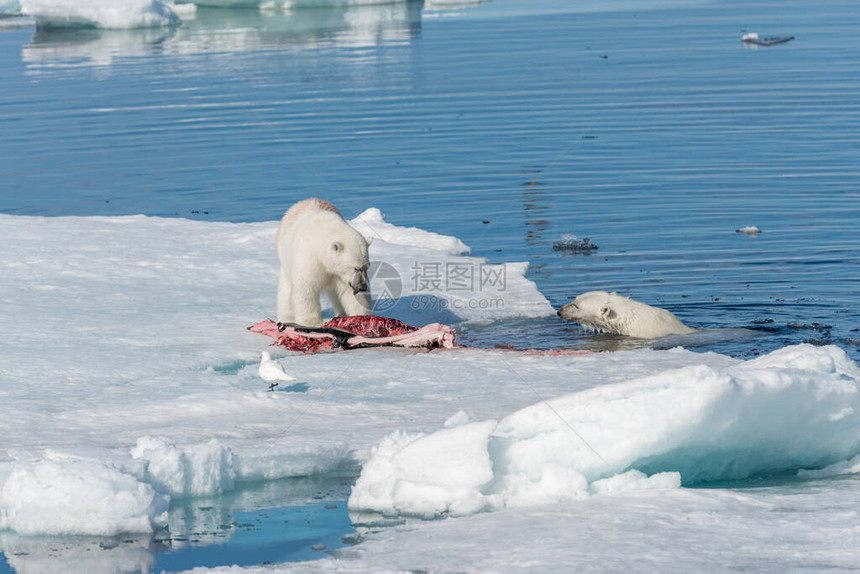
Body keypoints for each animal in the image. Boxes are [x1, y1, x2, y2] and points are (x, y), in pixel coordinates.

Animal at [276, 199, 370, 328]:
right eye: (355, 268)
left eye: (366, 267)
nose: (362, 287)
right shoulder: (309, 259)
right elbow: (307, 289)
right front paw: (314, 323)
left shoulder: (340, 275)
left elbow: (350, 294)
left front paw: (361, 317)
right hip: (284, 256)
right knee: (286, 288)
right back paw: (286, 316)